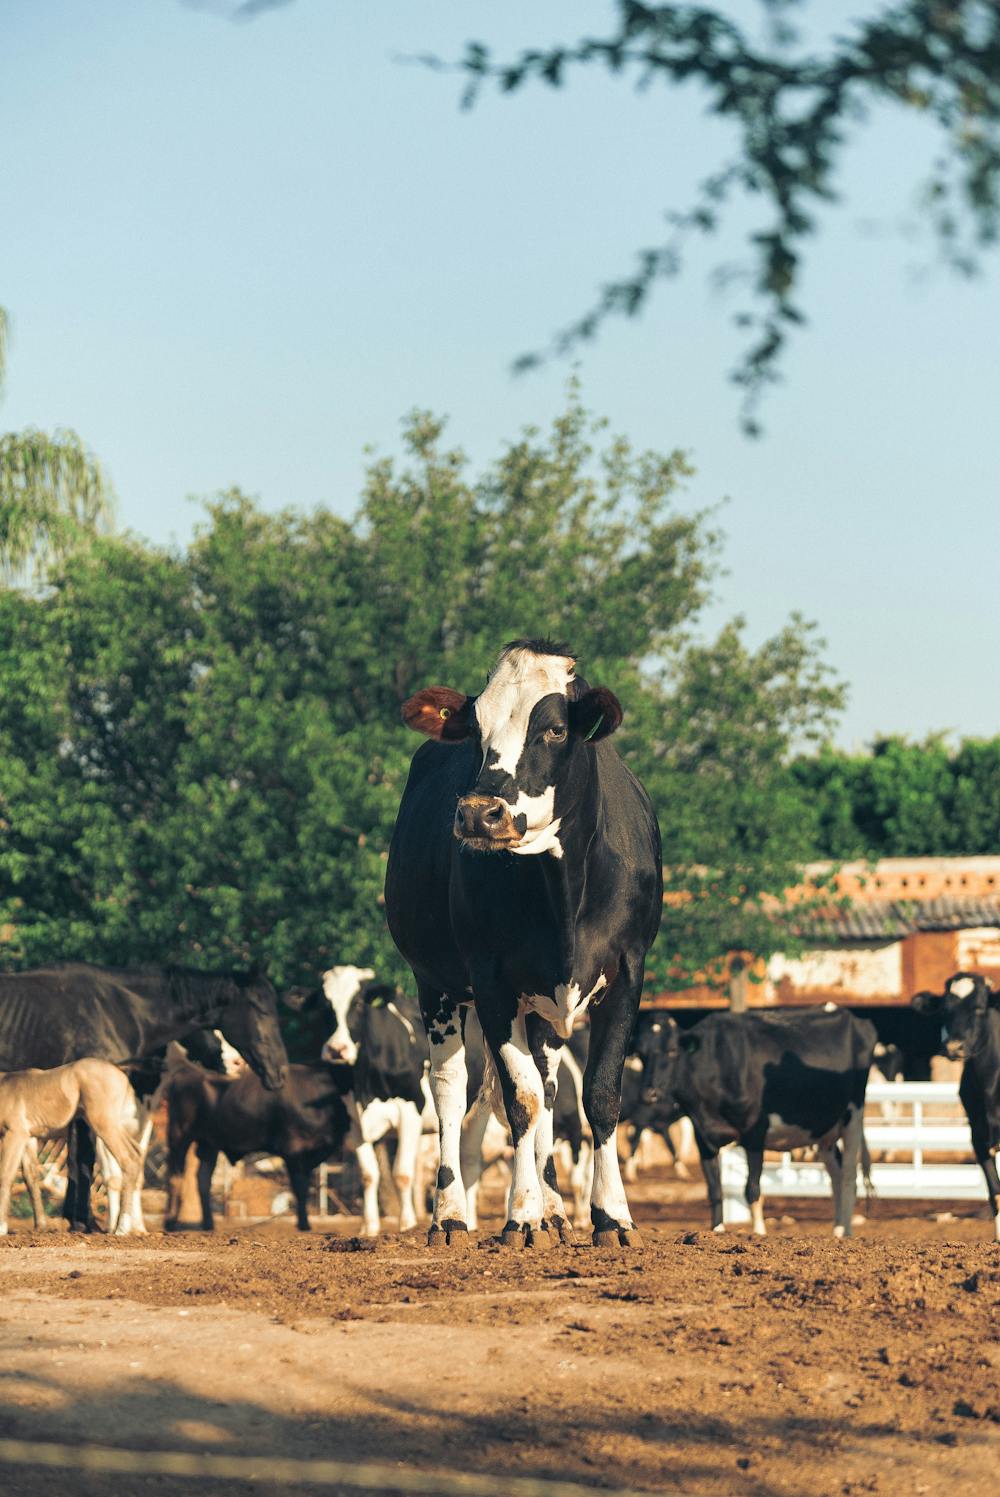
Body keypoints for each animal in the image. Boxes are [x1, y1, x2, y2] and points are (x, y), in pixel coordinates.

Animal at [0, 964, 288, 1233]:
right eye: (260, 1009)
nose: (278, 1071)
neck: (117, 1010)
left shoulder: (135, 1115)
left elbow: (118, 1165)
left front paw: (127, 1225)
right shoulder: (95, 1115)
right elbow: (93, 1164)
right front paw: (91, 1223)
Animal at [163, 1065, 351, 1227]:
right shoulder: (293, 1151)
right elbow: (300, 1187)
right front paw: (304, 1224)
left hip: (209, 1144)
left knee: (203, 1179)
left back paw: (208, 1224)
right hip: (178, 1137)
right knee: (175, 1176)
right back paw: (170, 1222)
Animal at [386, 637, 658, 1245]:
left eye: (554, 729)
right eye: (475, 729)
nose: (477, 814)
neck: (564, 891)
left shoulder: (628, 971)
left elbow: (598, 1095)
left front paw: (612, 1215)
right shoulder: (490, 980)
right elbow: (520, 1098)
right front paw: (523, 1214)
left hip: (542, 1010)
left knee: (551, 1086)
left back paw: (557, 1208)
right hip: (435, 983)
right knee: (452, 1088)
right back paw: (451, 1215)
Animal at [631, 1005, 874, 1239]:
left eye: (672, 1051)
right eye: (641, 1054)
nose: (648, 1094)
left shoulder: (755, 1132)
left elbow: (752, 1189)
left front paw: (758, 1232)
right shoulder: (703, 1137)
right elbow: (714, 1190)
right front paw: (717, 1230)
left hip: (853, 1115)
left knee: (849, 1175)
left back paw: (847, 1232)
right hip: (824, 1132)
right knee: (836, 1175)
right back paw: (838, 1229)